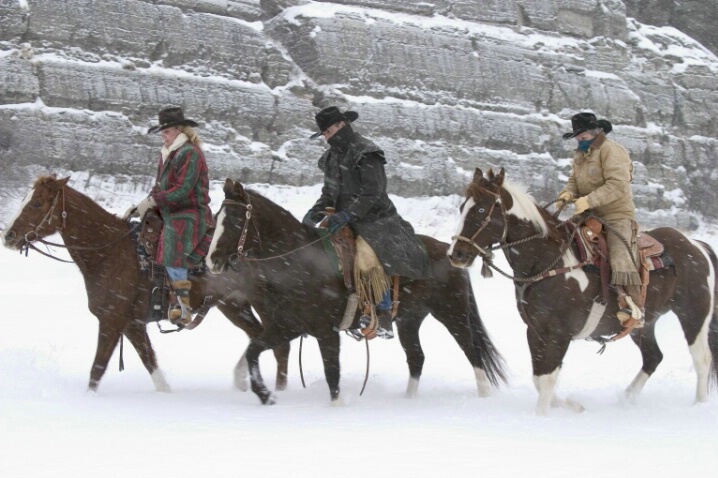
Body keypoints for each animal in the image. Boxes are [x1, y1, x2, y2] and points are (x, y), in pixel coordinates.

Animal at [3, 176, 290, 392]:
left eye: (37, 203)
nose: (9, 235)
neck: (110, 252)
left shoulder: (112, 321)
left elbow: (97, 369)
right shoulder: (133, 325)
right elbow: (150, 363)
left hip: (260, 304)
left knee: (279, 344)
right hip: (233, 305)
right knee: (257, 337)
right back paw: (243, 381)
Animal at [205, 177, 510, 406]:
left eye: (233, 221)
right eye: (217, 218)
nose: (212, 261)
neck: (302, 262)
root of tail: (451, 253)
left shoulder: (326, 332)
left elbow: (332, 375)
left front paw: (337, 407)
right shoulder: (288, 325)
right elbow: (253, 351)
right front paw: (264, 394)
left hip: (453, 314)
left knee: (472, 352)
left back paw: (482, 398)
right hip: (410, 320)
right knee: (417, 358)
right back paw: (408, 401)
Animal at [450, 168, 718, 414]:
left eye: (481, 210)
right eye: (463, 207)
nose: (457, 254)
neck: (548, 261)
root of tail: (696, 245)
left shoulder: (559, 334)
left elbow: (547, 380)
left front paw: (541, 416)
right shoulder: (535, 331)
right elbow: (539, 379)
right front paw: (572, 406)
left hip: (694, 314)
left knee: (702, 359)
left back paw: (699, 405)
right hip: (643, 324)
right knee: (653, 357)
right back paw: (627, 398)